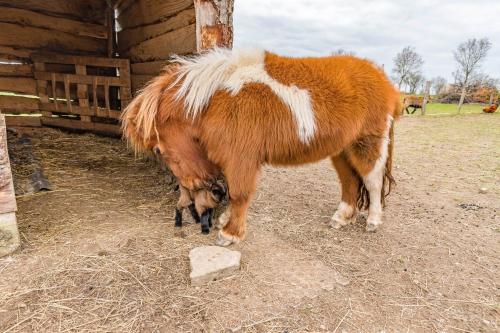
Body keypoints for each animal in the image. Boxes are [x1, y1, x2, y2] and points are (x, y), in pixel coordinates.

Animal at [123, 50, 400, 246]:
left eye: (158, 150)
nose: (199, 189)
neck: (216, 100)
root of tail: (383, 81)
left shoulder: (241, 158)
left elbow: (238, 193)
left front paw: (230, 233)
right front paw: (225, 220)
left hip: (368, 143)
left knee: (373, 181)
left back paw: (373, 220)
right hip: (342, 150)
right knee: (350, 181)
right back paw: (342, 218)